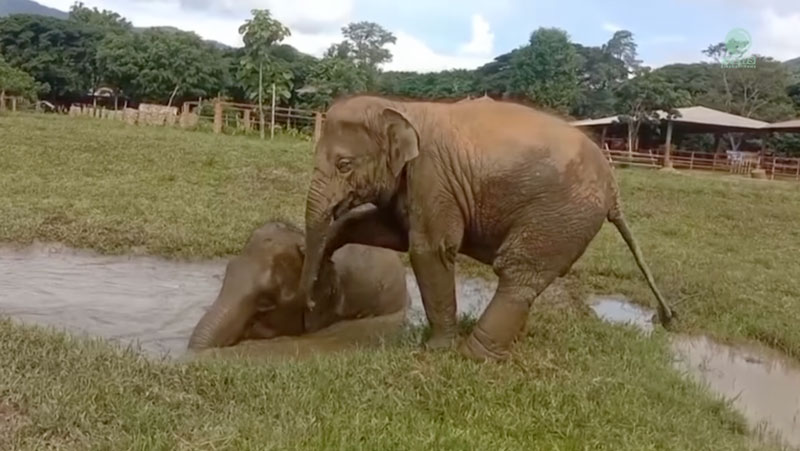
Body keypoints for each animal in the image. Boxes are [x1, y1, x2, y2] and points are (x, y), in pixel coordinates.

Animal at [294, 94, 676, 364]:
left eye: (344, 165)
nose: (309, 306)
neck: (402, 108)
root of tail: (613, 188)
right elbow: (388, 232)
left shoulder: (433, 177)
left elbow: (429, 249)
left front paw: (436, 350)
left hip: (560, 214)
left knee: (518, 272)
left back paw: (473, 356)